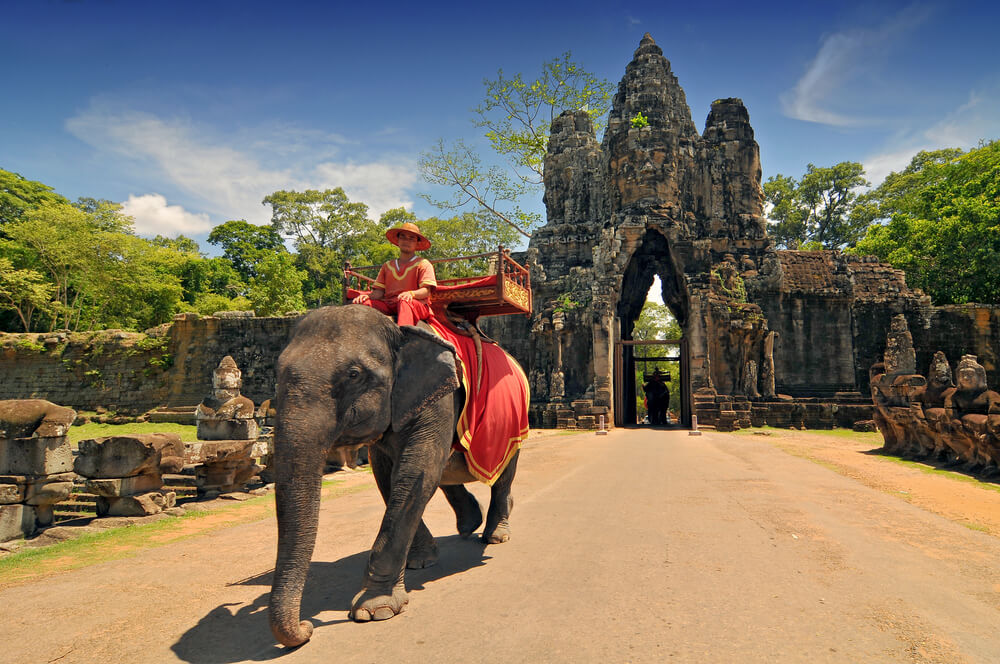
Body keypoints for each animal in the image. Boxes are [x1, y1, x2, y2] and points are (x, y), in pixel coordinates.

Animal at [270, 304, 520, 644]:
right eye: (277, 372)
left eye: (354, 375)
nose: (306, 628)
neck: (396, 327)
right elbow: (390, 475)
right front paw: (419, 562)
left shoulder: (440, 397)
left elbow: (417, 471)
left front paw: (374, 610)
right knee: (447, 471)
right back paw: (469, 523)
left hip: (513, 422)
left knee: (502, 474)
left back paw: (495, 535)